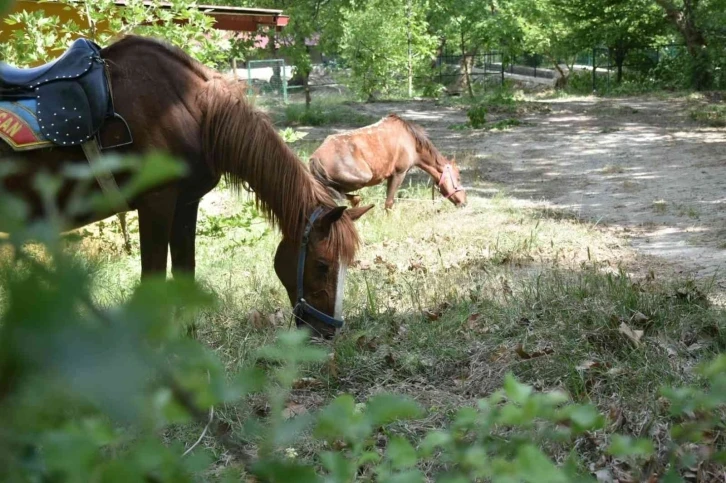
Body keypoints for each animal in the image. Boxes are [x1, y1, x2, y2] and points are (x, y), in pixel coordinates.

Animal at [0, 36, 372, 338]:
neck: (193, 108)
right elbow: (152, 278)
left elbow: (184, 276)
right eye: (323, 265)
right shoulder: (156, 204)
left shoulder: (185, 204)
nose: (327, 332)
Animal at [310, 116, 470, 212]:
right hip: (362, 178)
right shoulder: (398, 173)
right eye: (458, 178)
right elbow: (389, 203)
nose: (464, 202)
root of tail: (314, 158)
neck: (411, 142)